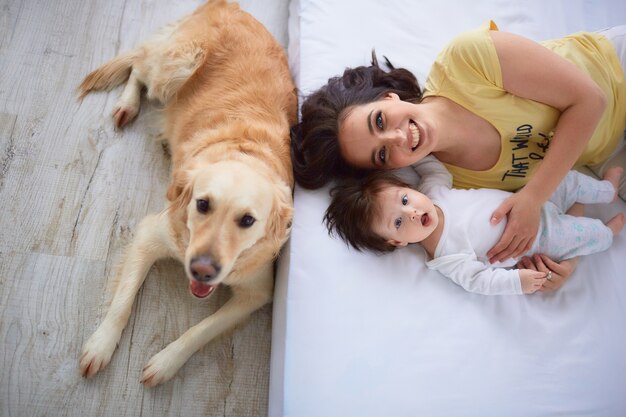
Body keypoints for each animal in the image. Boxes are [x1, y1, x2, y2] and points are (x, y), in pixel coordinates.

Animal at [75, 0, 294, 386]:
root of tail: (228, 4)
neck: (244, 153)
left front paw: (165, 362)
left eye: (248, 220)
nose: (202, 271)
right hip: (178, 64)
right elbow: (122, 303)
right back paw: (127, 104)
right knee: (139, 66)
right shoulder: (150, 234)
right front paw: (100, 345)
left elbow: (200, 330)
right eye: (202, 204)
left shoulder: (256, 292)